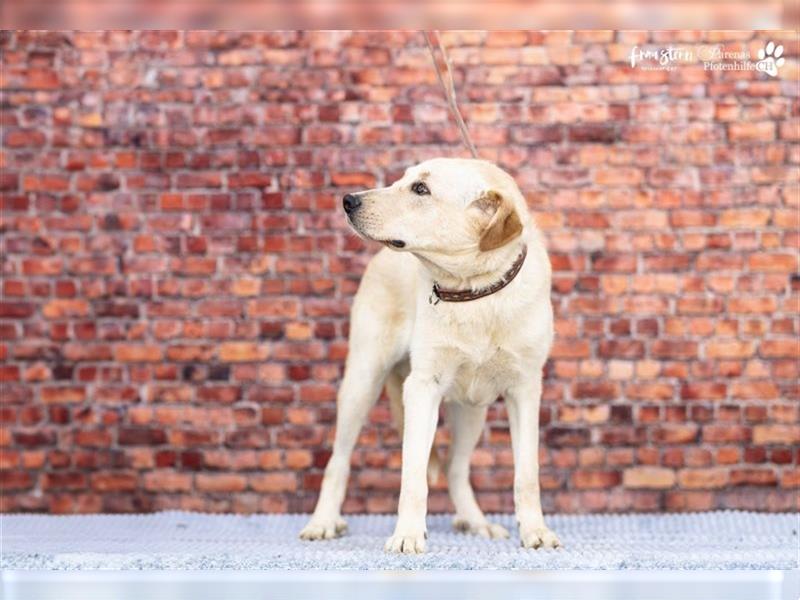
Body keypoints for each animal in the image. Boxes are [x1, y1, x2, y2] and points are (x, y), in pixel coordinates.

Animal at [296, 158, 560, 552]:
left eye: (421, 189)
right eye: (403, 180)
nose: (348, 200)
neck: (474, 293)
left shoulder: (525, 390)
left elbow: (527, 473)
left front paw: (534, 531)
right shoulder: (421, 388)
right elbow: (413, 475)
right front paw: (407, 534)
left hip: (471, 409)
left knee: (455, 467)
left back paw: (476, 522)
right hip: (362, 381)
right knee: (337, 461)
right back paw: (323, 522)